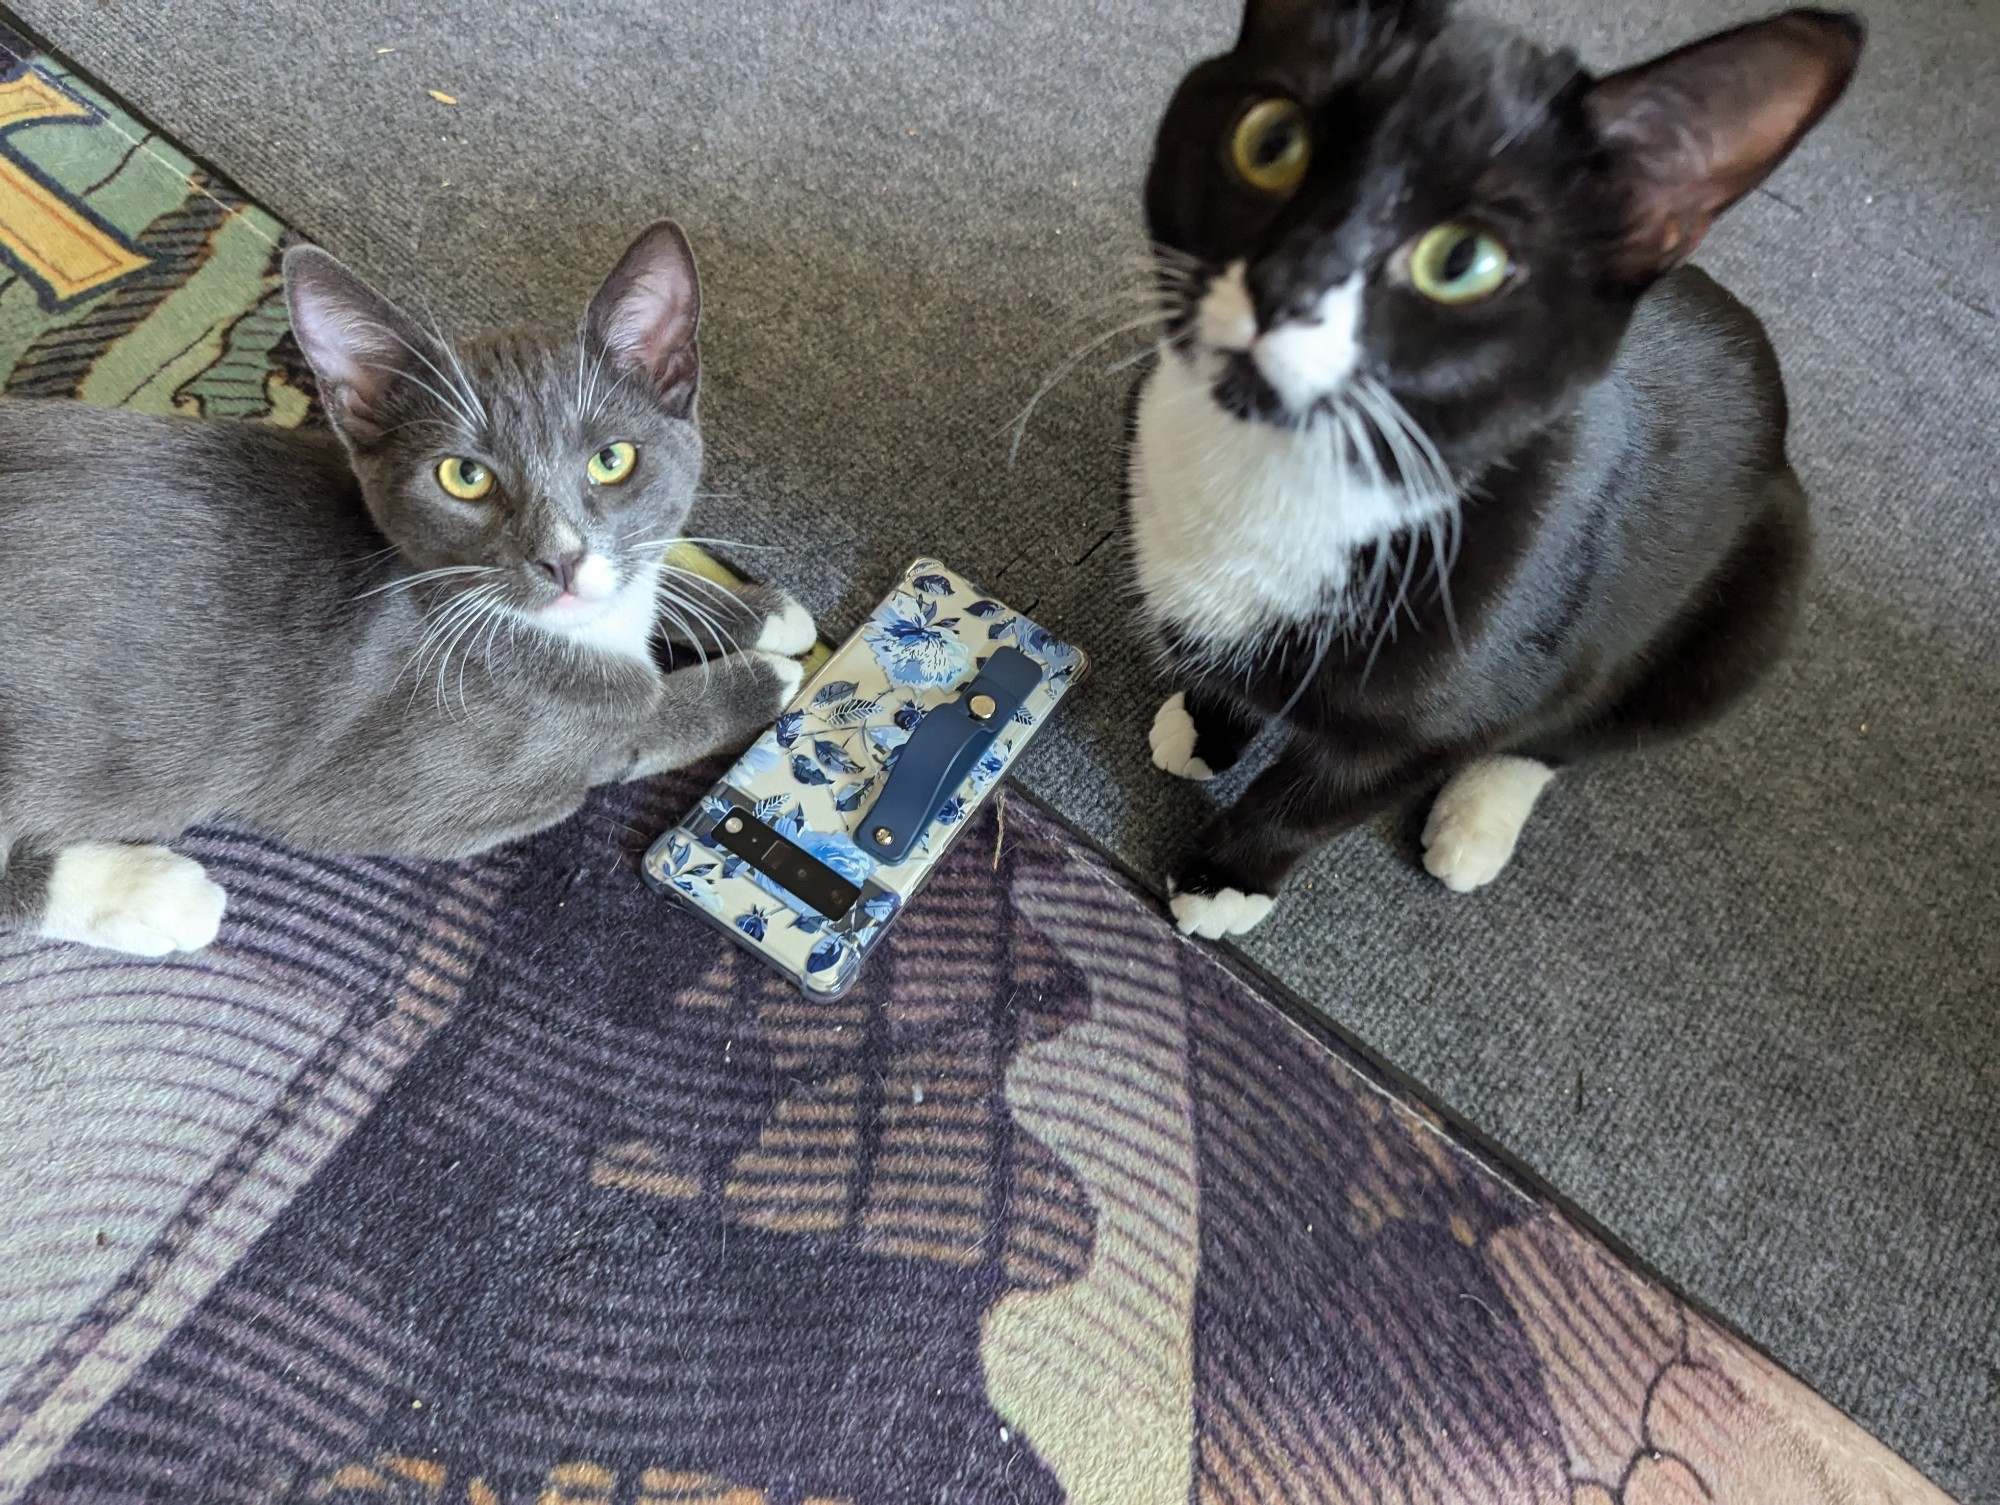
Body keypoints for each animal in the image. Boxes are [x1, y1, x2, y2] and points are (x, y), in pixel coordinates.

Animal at [1, 220, 812, 952]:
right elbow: (637, 724)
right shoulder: (442, 786)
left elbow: (655, 567)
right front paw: (766, 677)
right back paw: (156, 894)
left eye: (612, 460)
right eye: (465, 476)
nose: (561, 559)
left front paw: (766, 612)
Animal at [1128, 0, 1856, 936]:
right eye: (1272, 140)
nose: (1284, 287)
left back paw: (1476, 819)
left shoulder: (1439, 715)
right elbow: (1217, 664)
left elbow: (1319, 798)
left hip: (1758, 597)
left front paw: (1228, 876)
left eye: (1462, 262)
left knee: (1573, 727)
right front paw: (1210, 720)